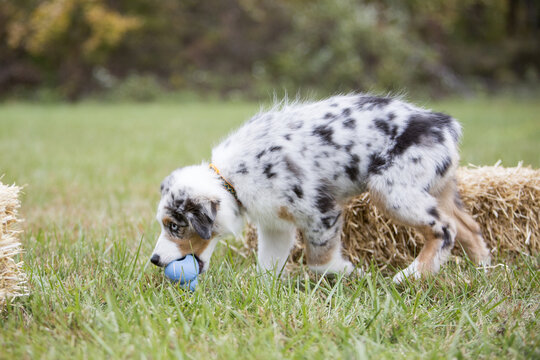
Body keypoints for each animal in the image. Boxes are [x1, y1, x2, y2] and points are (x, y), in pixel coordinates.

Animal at [150, 93, 492, 284]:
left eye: (176, 226)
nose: (153, 260)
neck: (231, 179)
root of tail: (442, 125)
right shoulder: (276, 224)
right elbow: (268, 264)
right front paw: (264, 293)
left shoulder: (320, 211)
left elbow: (319, 261)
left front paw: (350, 273)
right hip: (436, 188)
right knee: (470, 227)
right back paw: (483, 270)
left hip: (392, 190)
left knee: (445, 229)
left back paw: (411, 275)